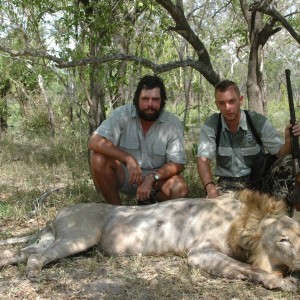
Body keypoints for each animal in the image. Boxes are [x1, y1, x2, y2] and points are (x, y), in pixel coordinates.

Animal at [0, 190, 300, 290]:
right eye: (283, 240)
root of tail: (57, 214)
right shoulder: (200, 253)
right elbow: (248, 268)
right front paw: (281, 282)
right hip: (80, 236)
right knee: (36, 256)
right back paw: (34, 275)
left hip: (54, 238)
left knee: (22, 252)